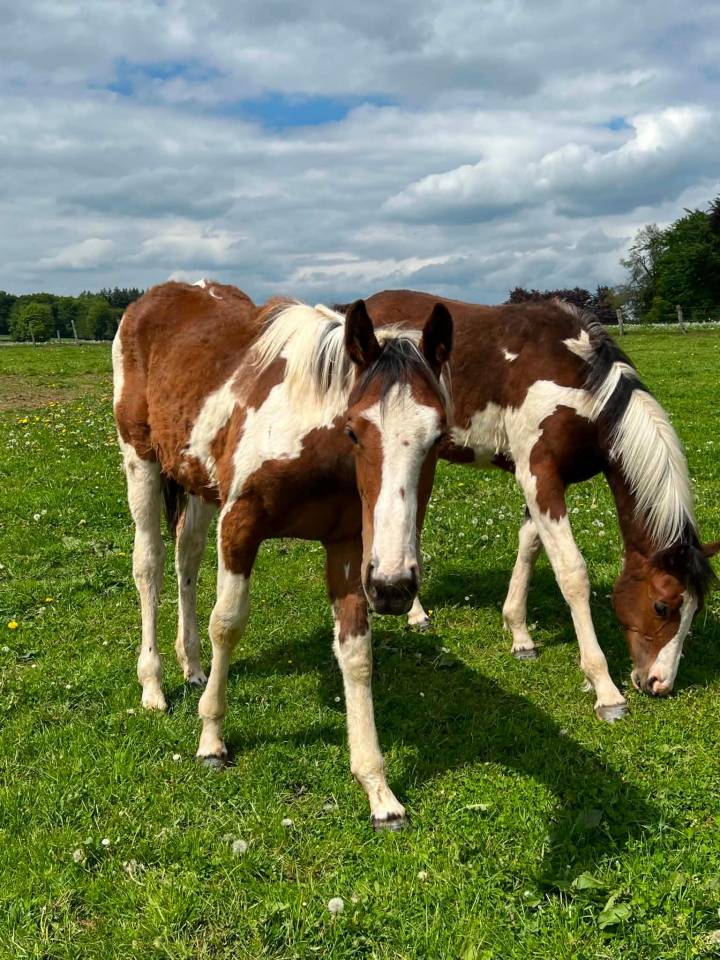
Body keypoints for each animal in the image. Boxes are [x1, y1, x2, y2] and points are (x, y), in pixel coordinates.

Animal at [112, 279, 452, 828]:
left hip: (197, 483)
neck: (315, 445)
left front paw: (378, 789)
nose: (394, 587)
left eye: (439, 438)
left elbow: (356, 653)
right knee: (151, 566)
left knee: (187, 558)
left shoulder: (349, 547)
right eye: (355, 429)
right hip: (140, 461)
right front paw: (211, 740)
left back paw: (192, 666)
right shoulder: (240, 524)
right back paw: (154, 686)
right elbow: (227, 624)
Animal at [352, 290, 719, 721]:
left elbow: (529, 546)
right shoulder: (539, 475)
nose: (659, 683)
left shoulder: (542, 481)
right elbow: (572, 573)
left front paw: (519, 634)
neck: (581, 381)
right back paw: (413, 612)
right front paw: (605, 689)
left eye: (695, 610)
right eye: (663, 606)